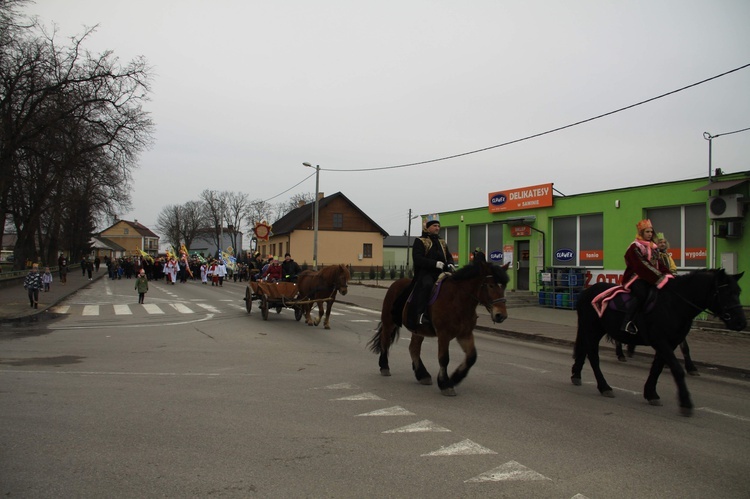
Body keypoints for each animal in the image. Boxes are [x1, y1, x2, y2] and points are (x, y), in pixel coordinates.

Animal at [368, 260, 512, 396]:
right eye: (491, 285)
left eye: (503, 286)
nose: (501, 315)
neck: (458, 300)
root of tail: (395, 283)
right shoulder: (444, 334)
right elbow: (444, 358)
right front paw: (445, 384)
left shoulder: (465, 334)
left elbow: (472, 357)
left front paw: (454, 378)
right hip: (389, 322)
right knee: (385, 341)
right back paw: (384, 367)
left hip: (418, 330)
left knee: (413, 348)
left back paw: (422, 375)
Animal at [576, 272, 748, 416]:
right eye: (726, 293)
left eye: (739, 292)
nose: (741, 322)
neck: (674, 303)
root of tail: (586, 292)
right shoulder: (661, 341)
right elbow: (677, 369)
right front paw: (685, 403)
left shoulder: (670, 342)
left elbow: (658, 367)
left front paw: (651, 394)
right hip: (592, 329)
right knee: (593, 356)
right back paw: (604, 386)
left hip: (593, 330)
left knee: (584, 350)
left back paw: (576, 375)